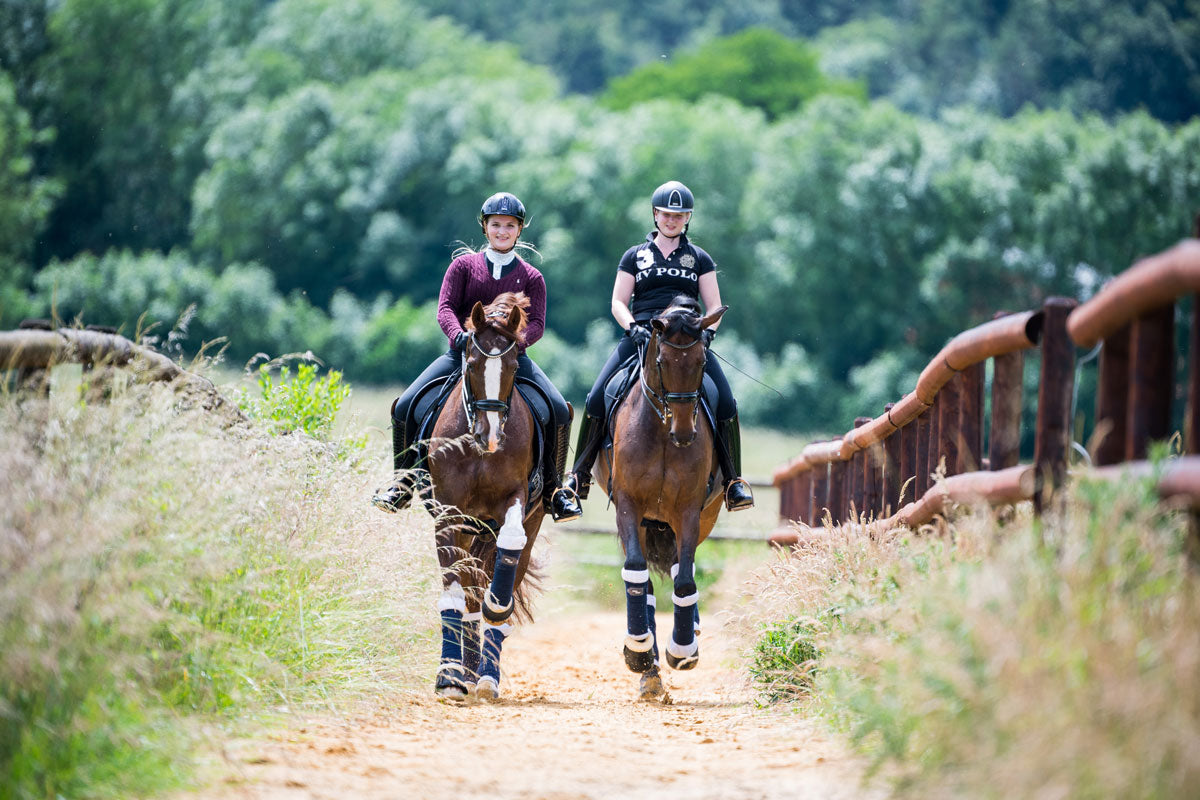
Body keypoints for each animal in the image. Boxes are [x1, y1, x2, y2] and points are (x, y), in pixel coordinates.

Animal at [424, 292, 543, 702]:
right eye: (473, 364)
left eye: (512, 365)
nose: (489, 436)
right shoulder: (447, 513)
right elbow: (453, 595)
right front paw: (447, 676)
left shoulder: (515, 501)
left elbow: (507, 554)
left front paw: (498, 606)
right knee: (471, 591)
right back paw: (469, 671)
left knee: (494, 585)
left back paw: (486, 673)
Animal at [593, 298, 728, 700]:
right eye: (662, 362)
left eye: (702, 362)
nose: (684, 432)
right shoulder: (628, 505)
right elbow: (637, 572)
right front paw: (639, 652)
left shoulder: (689, 512)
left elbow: (684, 581)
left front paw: (681, 650)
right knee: (643, 577)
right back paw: (647, 666)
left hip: (701, 518)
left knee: (684, 568)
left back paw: (687, 637)